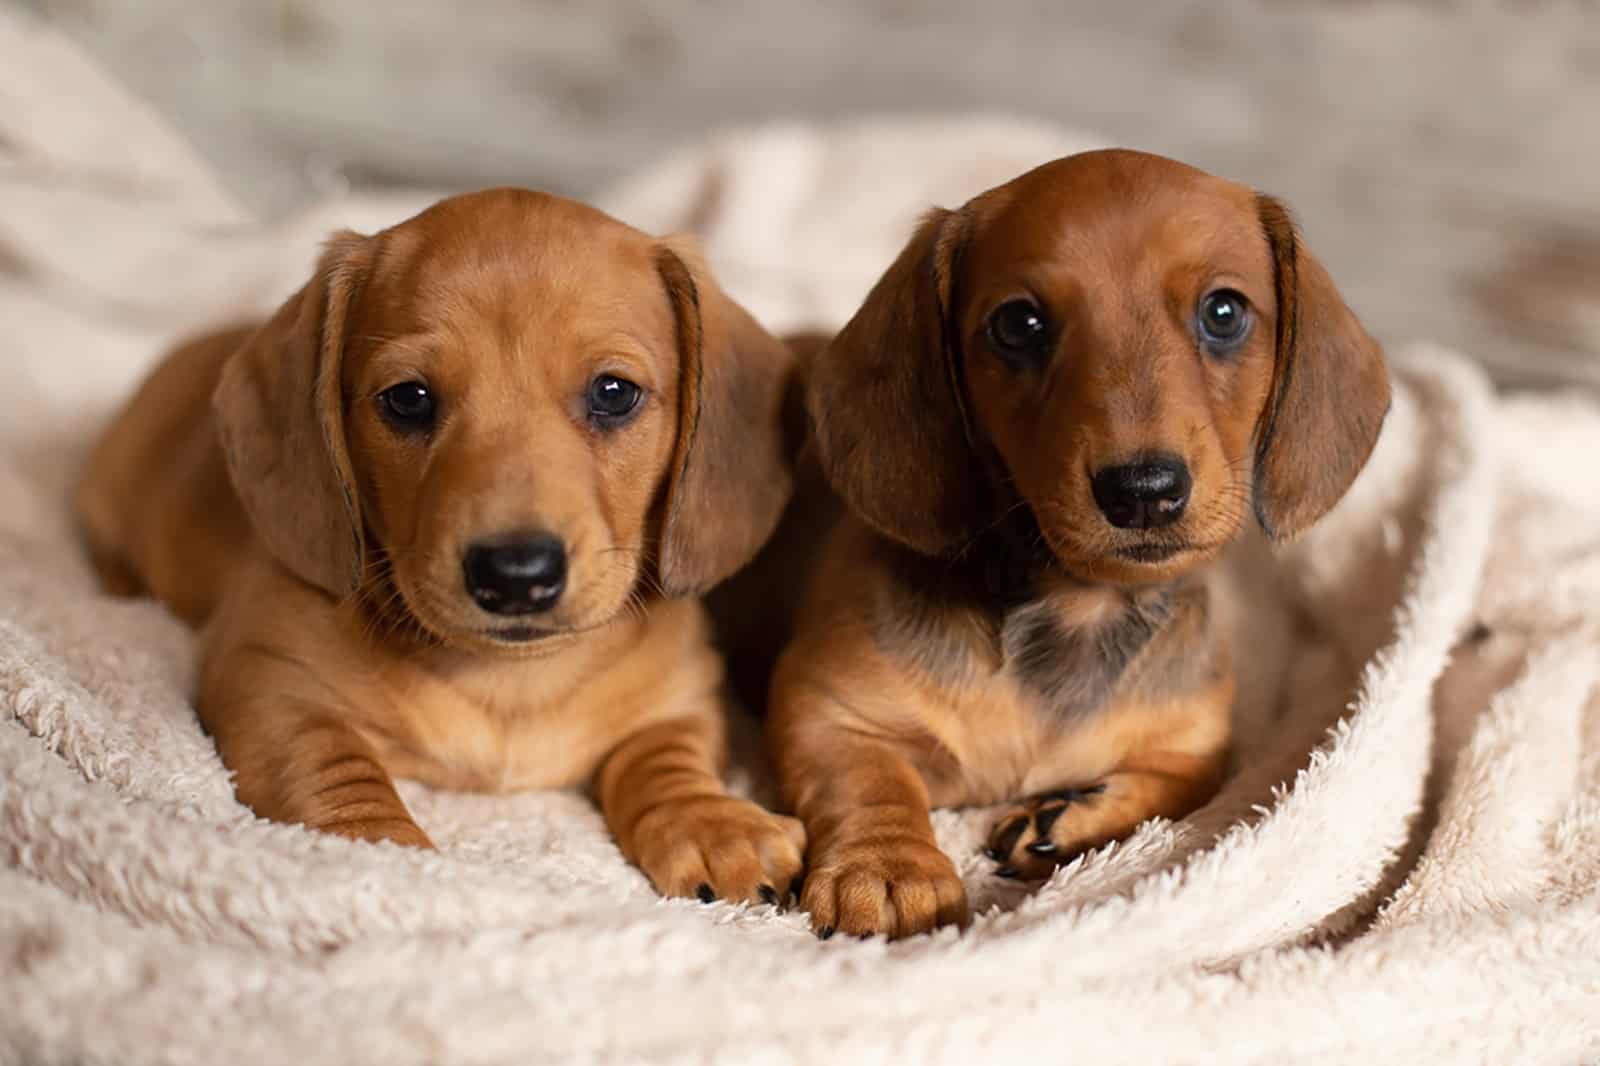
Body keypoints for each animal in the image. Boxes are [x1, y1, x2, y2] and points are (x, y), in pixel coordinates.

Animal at [76, 186, 806, 902]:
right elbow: (330, 765)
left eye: (614, 392)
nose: (516, 574)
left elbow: (664, 759)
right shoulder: (267, 677)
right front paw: (380, 853)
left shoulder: (681, 699)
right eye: (408, 399)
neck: (510, 683)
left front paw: (713, 825)